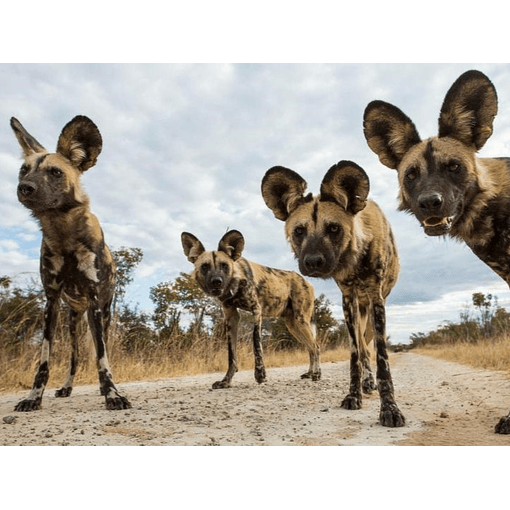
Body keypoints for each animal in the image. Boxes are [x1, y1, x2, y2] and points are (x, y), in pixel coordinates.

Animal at [11, 114, 130, 410]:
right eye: (23, 170)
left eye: (55, 172)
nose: (24, 188)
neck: (63, 232)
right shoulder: (51, 301)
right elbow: (44, 361)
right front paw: (33, 397)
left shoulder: (95, 301)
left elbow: (102, 358)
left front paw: (112, 394)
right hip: (73, 322)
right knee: (74, 358)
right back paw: (66, 387)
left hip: (101, 314)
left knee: (100, 350)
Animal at [181, 229, 320, 388]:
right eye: (205, 266)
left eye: (224, 265)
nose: (217, 281)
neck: (236, 283)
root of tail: (307, 281)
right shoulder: (231, 317)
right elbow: (231, 355)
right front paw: (226, 381)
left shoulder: (256, 310)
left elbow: (256, 344)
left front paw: (260, 374)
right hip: (293, 326)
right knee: (310, 348)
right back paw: (309, 373)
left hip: (301, 321)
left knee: (316, 347)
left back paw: (317, 374)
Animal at [260, 161, 404, 428]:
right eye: (299, 231)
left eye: (334, 228)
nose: (313, 262)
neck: (355, 259)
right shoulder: (348, 300)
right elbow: (355, 356)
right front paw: (354, 395)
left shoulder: (376, 300)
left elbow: (381, 359)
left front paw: (389, 408)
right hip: (356, 312)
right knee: (363, 349)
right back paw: (367, 383)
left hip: (370, 313)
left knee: (369, 347)